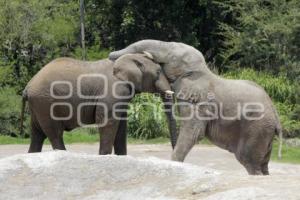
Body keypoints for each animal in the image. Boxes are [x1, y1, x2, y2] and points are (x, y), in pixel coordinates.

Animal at [19, 53, 177, 155]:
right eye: (158, 72)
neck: (128, 58)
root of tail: (27, 86)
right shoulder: (114, 90)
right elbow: (107, 122)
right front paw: (105, 157)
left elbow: (121, 126)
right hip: (45, 103)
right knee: (55, 134)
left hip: (38, 104)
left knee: (37, 134)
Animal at [109, 39, 282, 175]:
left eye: (172, 57)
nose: (110, 54)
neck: (199, 71)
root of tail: (276, 118)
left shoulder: (199, 102)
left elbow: (193, 133)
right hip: (264, 133)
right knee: (263, 165)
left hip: (256, 128)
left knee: (250, 162)